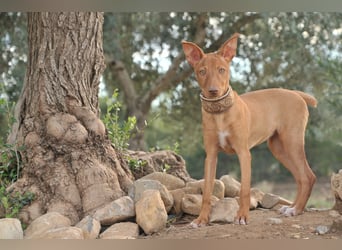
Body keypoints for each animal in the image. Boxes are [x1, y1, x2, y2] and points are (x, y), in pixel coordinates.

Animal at [182, 33, 318, 227]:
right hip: (278, 148)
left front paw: (242, 217)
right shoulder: (211, 155)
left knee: (308, 176)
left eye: (222, 70)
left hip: (292, 141)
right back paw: (292, 208)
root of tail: (296, 93)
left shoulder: (244, 153)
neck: (220, 113)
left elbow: (245, 190)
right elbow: (207, 192)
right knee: (300, 177)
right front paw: (201, 219)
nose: (213, 91)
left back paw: (296, 209)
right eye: (202, 71)